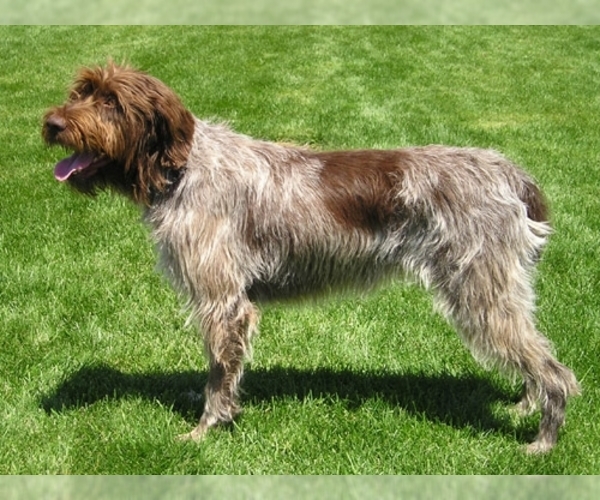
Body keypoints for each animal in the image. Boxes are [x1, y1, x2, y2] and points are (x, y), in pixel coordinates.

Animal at [41, 62, 576, 454]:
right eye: (81, 91)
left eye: (111, 102)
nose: (51, 124)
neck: (182, 168)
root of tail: (508, 171)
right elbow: (216, 365)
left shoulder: (224, 302)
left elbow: (219, 372)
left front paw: (206, 429)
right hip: (501, 292)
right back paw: (524, 406)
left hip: (480, 294)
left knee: (558, 374)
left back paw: (542, 441)